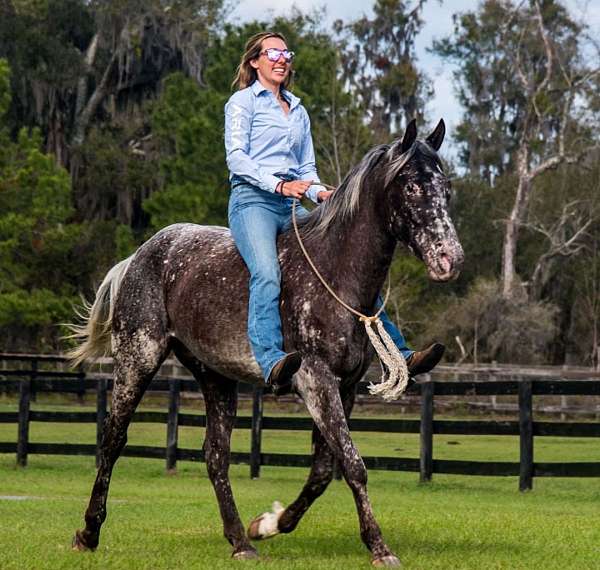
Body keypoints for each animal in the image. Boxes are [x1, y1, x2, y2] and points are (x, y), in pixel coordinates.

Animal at [69, 118, 464, 564]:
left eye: (446, 188)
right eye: (412, 186)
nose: (450, 259)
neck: (335, 271)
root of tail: (137, 258)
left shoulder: (344, 387)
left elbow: (324, 469)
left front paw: (270, 523)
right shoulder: (316, 379)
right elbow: (352, 463)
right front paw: (379, 547)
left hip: (215, 377)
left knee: (215, 456)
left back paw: (241, 542)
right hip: (138, 359)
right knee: (113, 440)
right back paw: (88, 533)